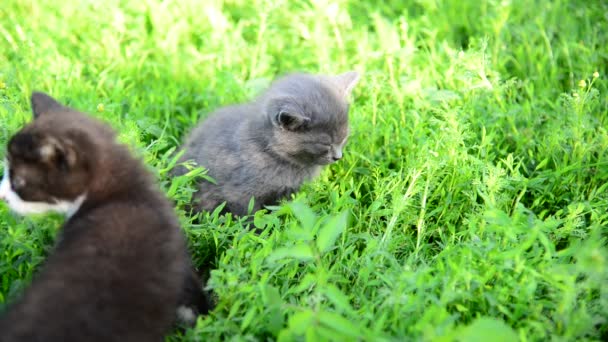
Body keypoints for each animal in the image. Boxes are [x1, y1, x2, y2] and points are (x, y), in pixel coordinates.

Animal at [173, 71, 358, 216]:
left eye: (343, 138)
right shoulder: (238, 194)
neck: (267, 150)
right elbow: (249, 216)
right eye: (325, 144)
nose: (338, 157)